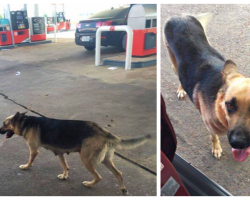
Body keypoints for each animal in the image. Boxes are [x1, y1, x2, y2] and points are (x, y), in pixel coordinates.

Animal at [0, 112, 150, 195]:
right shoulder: (60, 152)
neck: (24, 122)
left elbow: (30, 160)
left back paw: (89, 184)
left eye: (4, 124)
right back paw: (123, 189)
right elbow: (64, 165)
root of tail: (103, 131)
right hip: (105, 159)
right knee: (119, 173)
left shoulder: (33, 150)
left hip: (86, 159)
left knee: (99, 176)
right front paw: (64, 175)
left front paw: (26, 167)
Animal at [163, 14, 250, 162]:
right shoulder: (209, 125)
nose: (238, 143)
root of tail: (179, 16)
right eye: (230, 105)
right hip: (174, 63)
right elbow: (214, 137)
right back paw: (181, 89)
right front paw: (216, 148)